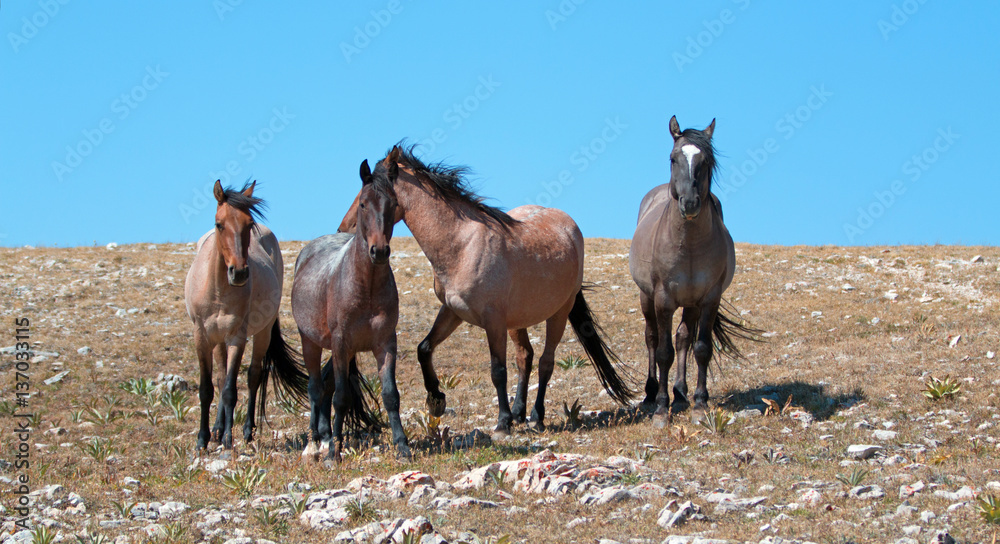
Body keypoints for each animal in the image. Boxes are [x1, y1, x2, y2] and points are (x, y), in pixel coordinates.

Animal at [184, 180, 308, 449]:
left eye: (249, 224)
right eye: (219, 224)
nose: (239, 273)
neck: (217, 290)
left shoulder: (236, 337)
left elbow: (231, 390)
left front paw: (228, 441)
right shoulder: (202, 337)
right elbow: (207, 388)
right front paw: (203, 440)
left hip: (262, 333)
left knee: (253, 376)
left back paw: (246, 430)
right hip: (217, 339)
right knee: (221, 378)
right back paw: (218, 429)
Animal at [291, 159, 410, 461]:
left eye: (393, 203)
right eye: (364, 204)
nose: (379, 251)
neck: (365, 288)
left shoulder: (385, 344)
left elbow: (391, 395)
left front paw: (402, 445)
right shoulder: (341, 343)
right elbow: (341, 397)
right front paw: (334, 452)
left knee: (324, 388)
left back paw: (323, 439)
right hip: (311, 342)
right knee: (315, 389)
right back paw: (315, 444)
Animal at [338, 144, 635, 436]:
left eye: (376, 200)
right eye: (362, 198)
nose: (344, 229)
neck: (462, 244)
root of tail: (569, 227)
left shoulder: (493, 320)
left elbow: (498, 370)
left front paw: (502, 423)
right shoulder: (453, 311)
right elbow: (424, 348)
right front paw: (436, 400)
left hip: (560, 312)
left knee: (545, 363)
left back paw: (535, 417)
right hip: (517, 321)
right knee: (525, 357)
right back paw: (519, 412)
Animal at [628, 116, 756, 426]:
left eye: (705, 161)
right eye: (673, 158)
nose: (689, 203)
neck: (689, 245)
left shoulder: (708, 299)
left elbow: (701, 348)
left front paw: (699, 403)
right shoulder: (663, 299)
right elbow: (664, 352)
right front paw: (661, 410)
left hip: (691, 304)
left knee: (683, 337)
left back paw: (681, 393)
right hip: (646, 298)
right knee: (652, 338)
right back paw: (652, 394)